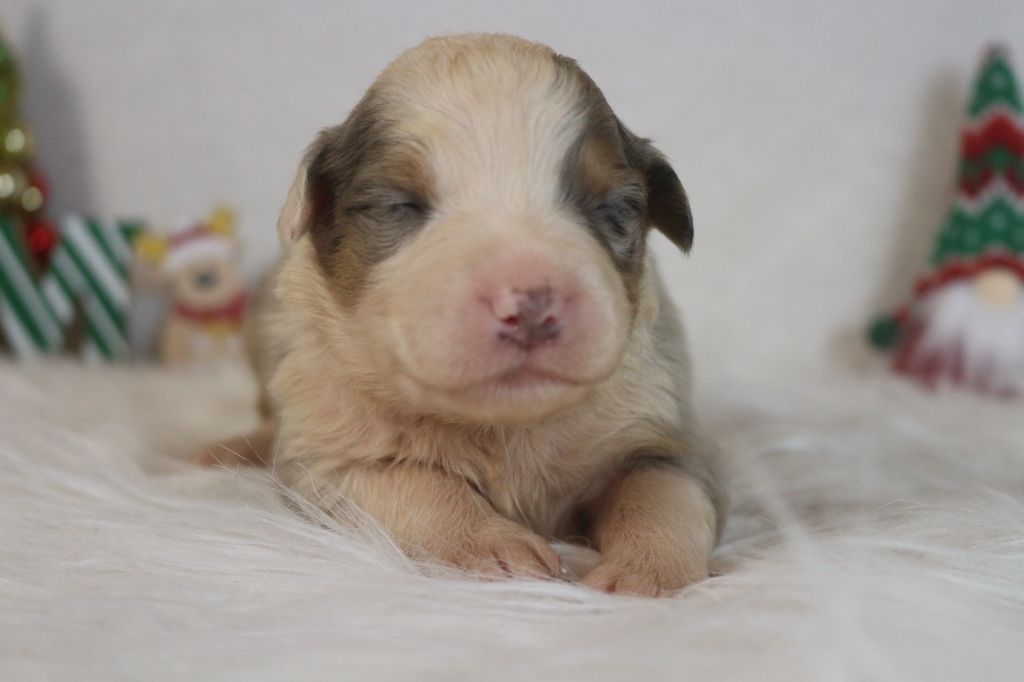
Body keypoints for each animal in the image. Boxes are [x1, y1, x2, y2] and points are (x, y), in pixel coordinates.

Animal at [203, 34, 724, 593]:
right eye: (399, 206)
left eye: (614, 207)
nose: (530, 306)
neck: (503, 426)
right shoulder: (331, 456)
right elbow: (412, 485)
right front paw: (502, 549)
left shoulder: (660, 428)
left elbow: (662, 493)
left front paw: (643, 575)